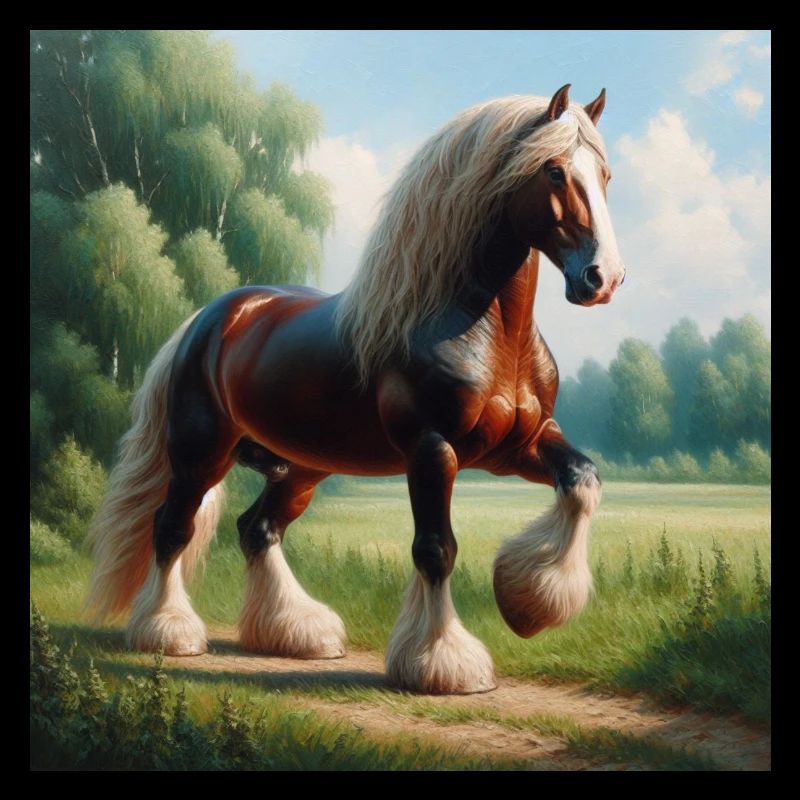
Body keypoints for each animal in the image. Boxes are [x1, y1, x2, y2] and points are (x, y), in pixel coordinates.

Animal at [87, 84, 625, 695]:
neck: (478, 328)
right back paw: (169, 631)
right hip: (200, 456)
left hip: (300, 469)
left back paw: (297, 631)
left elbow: (582, 481)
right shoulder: (433, 450)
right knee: (172, 528)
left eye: (605, 174)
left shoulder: (521, 445)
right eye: (554, 171)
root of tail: (207, 319)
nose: (603, 278)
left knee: (257, 530)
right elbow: (436, 549)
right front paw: (444, 661)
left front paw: (527, 602)